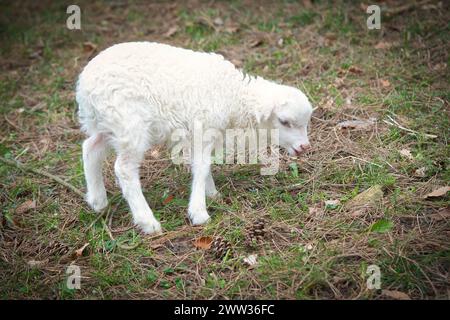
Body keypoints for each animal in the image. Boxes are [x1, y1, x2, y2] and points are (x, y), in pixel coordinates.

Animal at [75, 41, 312, 234]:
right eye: (284, 121)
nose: (304, 147)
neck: (233, 96)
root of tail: (84, 88)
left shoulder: (196, 134)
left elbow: (201, 165)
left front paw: (212, 193)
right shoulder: (203, 128)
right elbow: (202, 166)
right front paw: (199, 212)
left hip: (109, 123)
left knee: (91, 148)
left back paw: (97, 201)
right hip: (129, 123)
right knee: (124, 169)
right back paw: (147, 222)